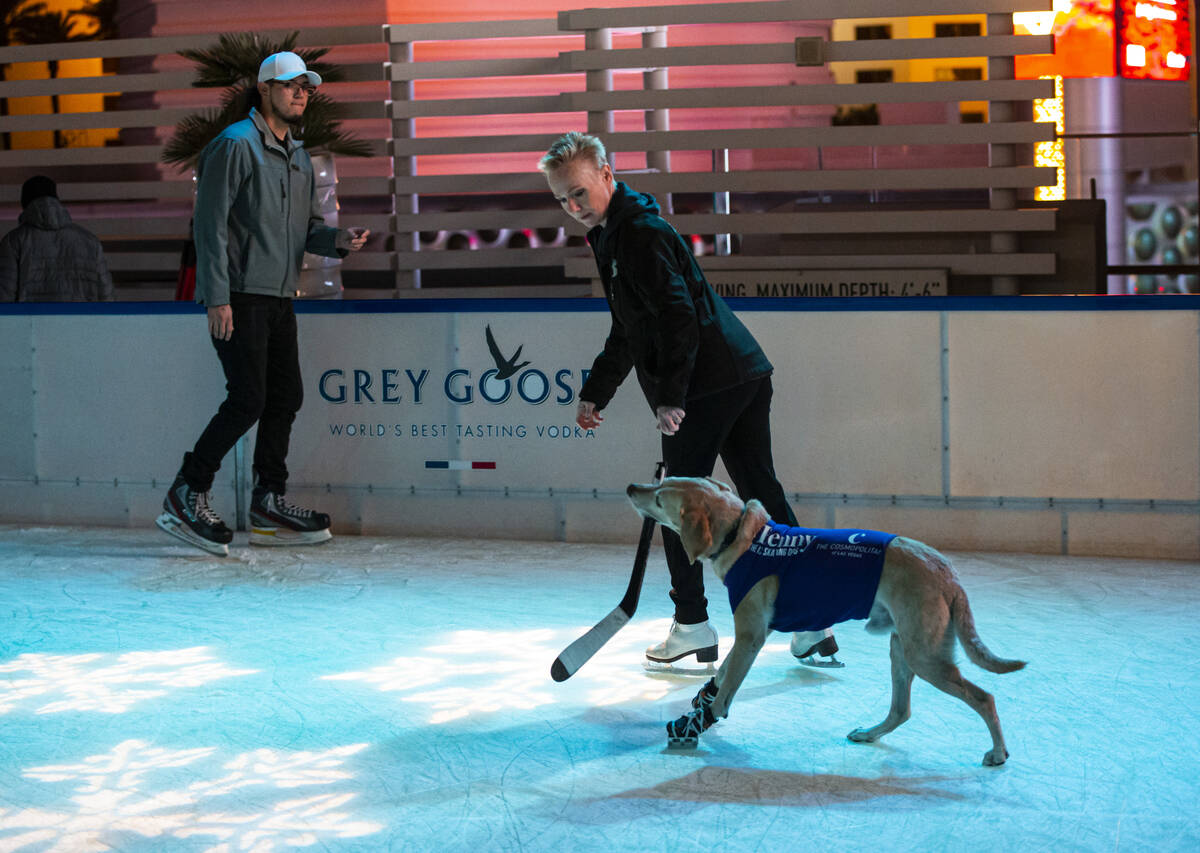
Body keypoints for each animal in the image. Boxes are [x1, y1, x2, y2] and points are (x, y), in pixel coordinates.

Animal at [624, 472, 1027, 767]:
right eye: (661, 485)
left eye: (659, 499)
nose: (631, 488)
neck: (744, 536)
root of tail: (946, 572)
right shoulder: (751, 636)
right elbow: (722, 671)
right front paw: (705, 696)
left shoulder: (751, 636)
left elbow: (728, 685)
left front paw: (703, 717)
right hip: (903, 649)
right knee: (902, 709)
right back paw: (870, 733)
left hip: (925, 657)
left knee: (984, 698)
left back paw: (997, 752)